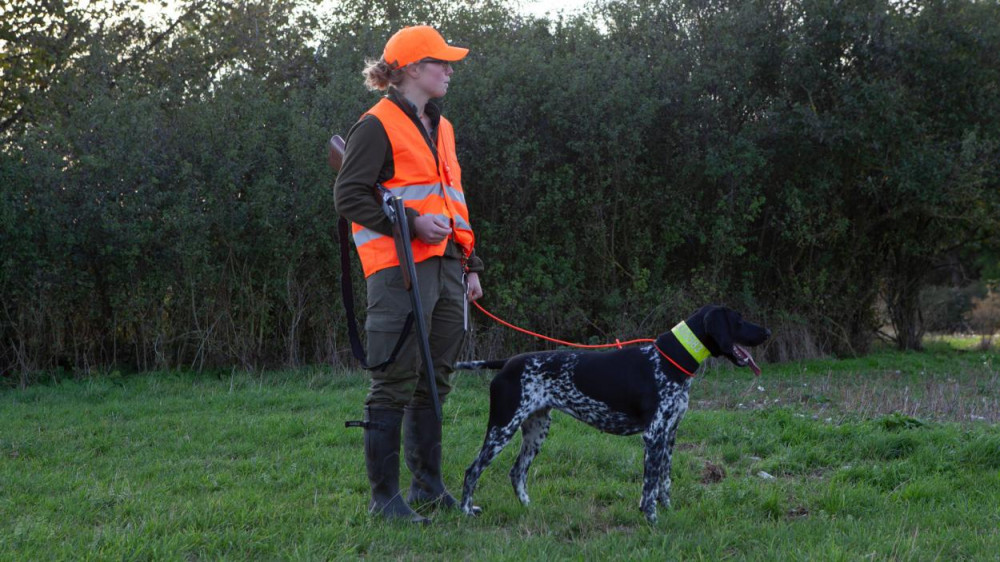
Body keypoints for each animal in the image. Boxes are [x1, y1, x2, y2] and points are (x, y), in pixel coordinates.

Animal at [458, 304, 768, 520]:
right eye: (738, 320)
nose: (767, 332)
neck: (670, 360)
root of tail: (507, 363)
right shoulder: (654, 435)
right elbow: (650, 486)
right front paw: (652, 520)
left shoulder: (669, 434)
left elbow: (664, 482)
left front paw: (667, 512)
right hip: (502, 427)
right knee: (472, 470)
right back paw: (466, 511)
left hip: (536, 430)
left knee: (517, 472)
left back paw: (528, 508)